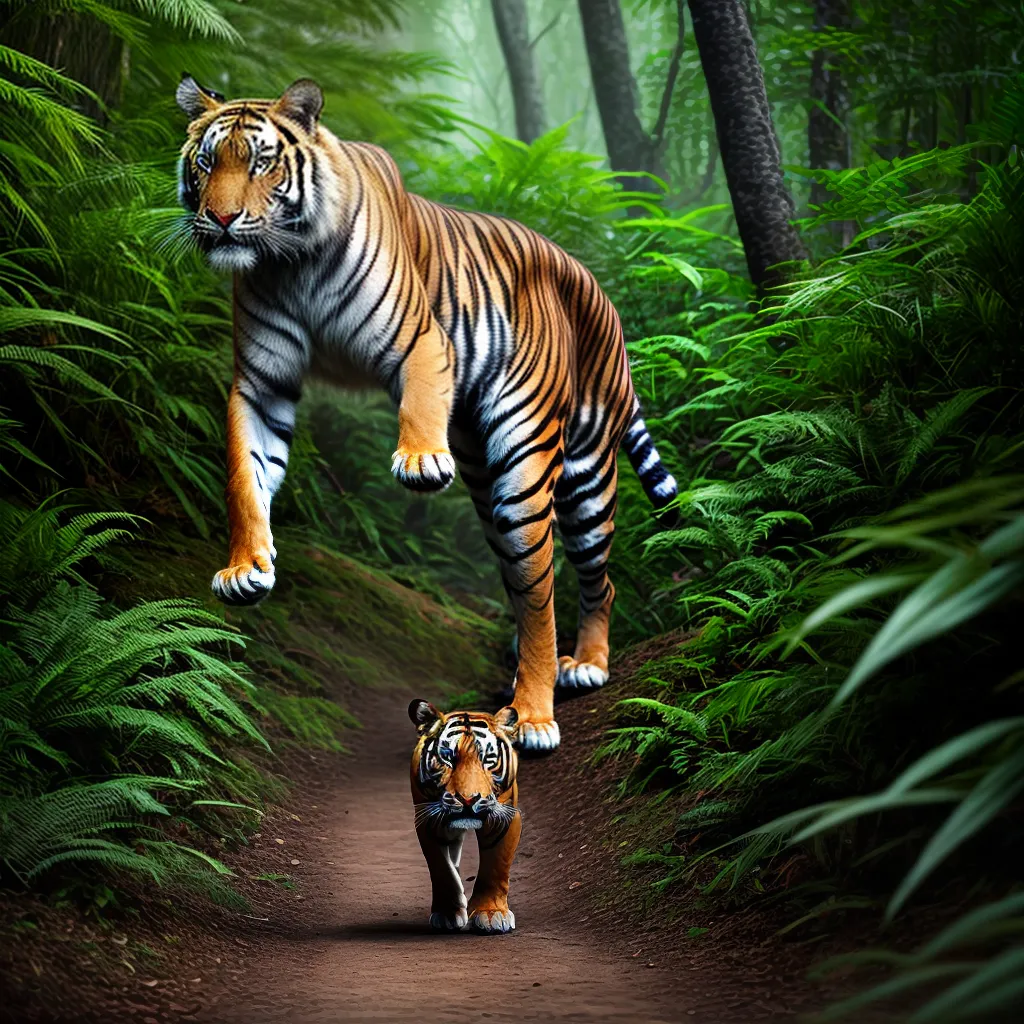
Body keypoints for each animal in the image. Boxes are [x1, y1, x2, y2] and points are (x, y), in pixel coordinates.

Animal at [176, 75, 678, 752]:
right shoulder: (261, 383)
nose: (223, 220)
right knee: (528, 581)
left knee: (577, 583)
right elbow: (243, 476)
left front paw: (419, 460)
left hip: (565, 473)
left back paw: (561, 688)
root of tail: (599, 289)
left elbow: (417, 399)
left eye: (260, 162)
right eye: (207, 163)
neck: (292, 263)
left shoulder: (422, 338)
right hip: (492, 494)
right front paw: (243, 569)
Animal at [409, 700, 520, 933]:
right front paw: (447, 913)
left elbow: (495, 865)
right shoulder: (429, 820)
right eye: (448, 757)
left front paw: (491, 913)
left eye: (488, 760)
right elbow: (442, 868)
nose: (468, 800)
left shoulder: (504, 818)